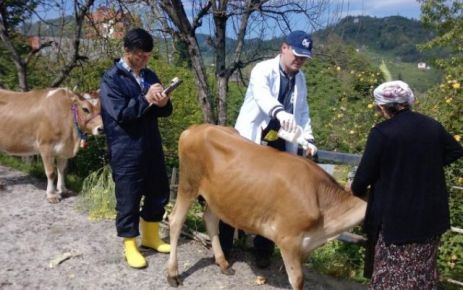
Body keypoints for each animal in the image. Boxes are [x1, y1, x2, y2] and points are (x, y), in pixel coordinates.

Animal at [169, 124, 368, 290]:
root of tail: (195, 128)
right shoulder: (288, 239)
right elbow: (297, 280)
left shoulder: (306, 245)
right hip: (188, 183)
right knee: (175, 220)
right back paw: (173, 274)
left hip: (217, 195)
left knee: (210, 219)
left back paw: (223, 264)